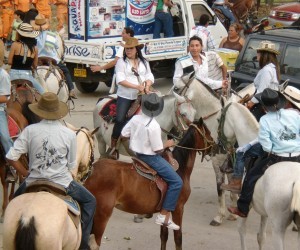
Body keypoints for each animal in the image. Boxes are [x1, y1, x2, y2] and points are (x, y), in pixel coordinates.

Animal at [84, 118, 216, 249]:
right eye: (208, 132)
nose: (214, 145)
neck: (180, 168)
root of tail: (91, 171)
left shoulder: (166, 209)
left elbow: (164, 236)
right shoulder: (178, 208)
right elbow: (178, 238)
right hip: (101, 216)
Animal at [175, 75, 258, 225]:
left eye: (177, 87)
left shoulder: (218, 161)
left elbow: (220, 187)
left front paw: (219, 216)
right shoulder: (229, 161)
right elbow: (230, 184)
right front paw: (233, 212)